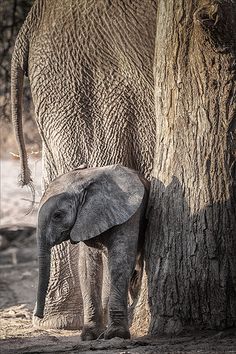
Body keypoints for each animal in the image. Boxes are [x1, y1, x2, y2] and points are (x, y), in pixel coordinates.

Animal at [34, 166, 149, 340]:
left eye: (57, 215)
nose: (38, 315)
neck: (87, 178)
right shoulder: (85, 221)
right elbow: (87, 268)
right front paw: (90, 335)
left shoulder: (130, 215)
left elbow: (120, 263)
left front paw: (116, 335)